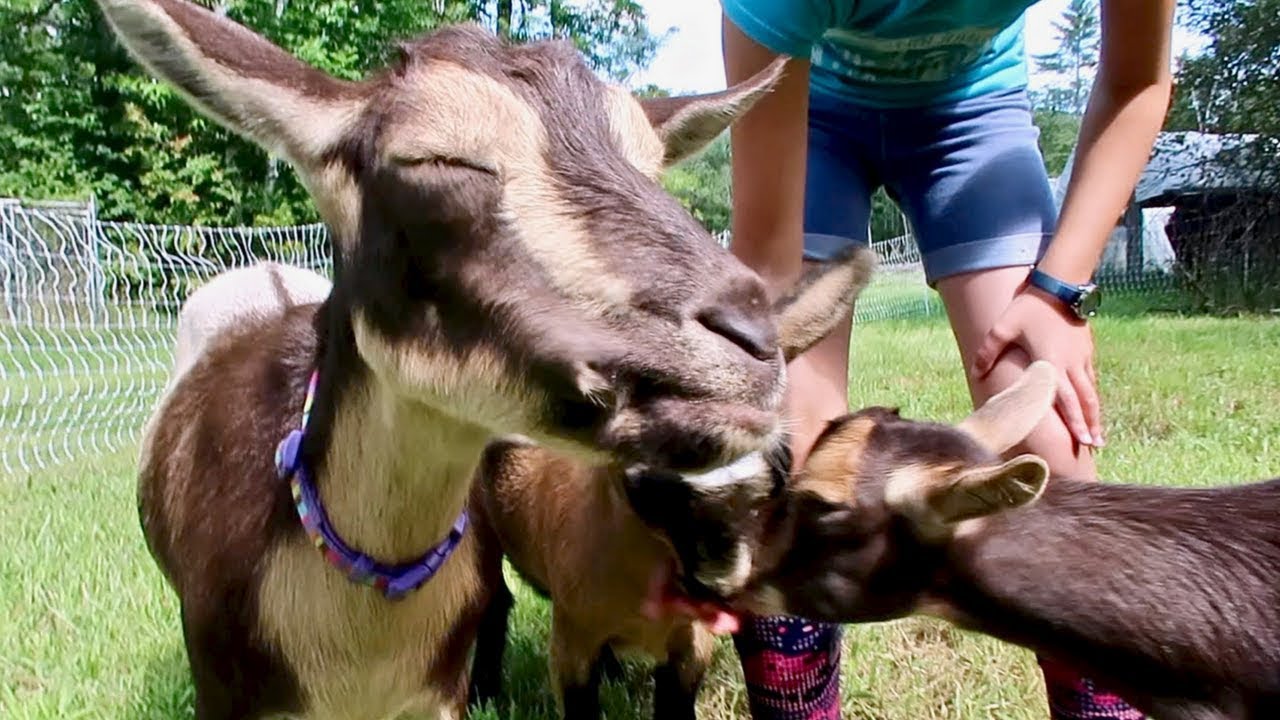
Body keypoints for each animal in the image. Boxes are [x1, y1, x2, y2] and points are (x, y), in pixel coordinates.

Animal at [467, 251, 876, 720]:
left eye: (782, 464)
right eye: (647, 486)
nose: (718, 587)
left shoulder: (692, 646)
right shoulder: (572, 644)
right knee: (492, 601)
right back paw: (481, 692)